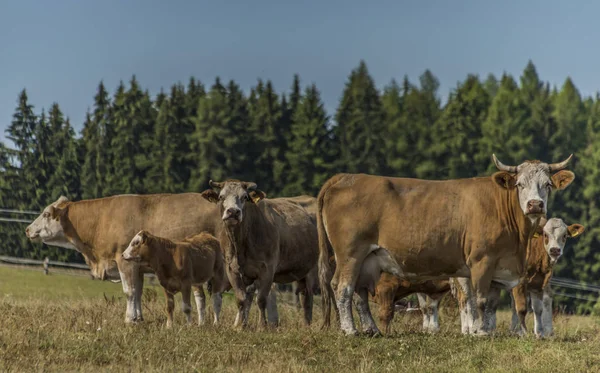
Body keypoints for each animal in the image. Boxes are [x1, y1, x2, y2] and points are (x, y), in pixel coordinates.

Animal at [24, 193, 220, 322]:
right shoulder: (138, 268)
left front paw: (129, 319)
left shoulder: (125, 262)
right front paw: (139, 318)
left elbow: (129, 291)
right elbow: (138, 291)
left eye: (46, 214)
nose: (27, 229)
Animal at [200, 179, 318, 326]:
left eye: (245, 197)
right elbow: (241, 299)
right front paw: (241, 326)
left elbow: (261, 299)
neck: (241, 243)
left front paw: (262, 325)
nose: (233, 212)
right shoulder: (232, 269)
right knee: (305, 298)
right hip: (302, 272)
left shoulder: (267, 270)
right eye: (221, 196)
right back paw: (306, 325)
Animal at [316, 153, 576, 334]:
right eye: (519, 184)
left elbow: (491, 304)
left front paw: (488, 330)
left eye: (548, 184)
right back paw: (350, 330)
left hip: (368, 259)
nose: (535, 205)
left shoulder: (499, 267)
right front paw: (480, 332)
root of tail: (347, 177)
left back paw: (371, 330)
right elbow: (479, 300)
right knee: (342, 287)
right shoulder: (482, 261)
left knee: (359, 291)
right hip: (350, 253)